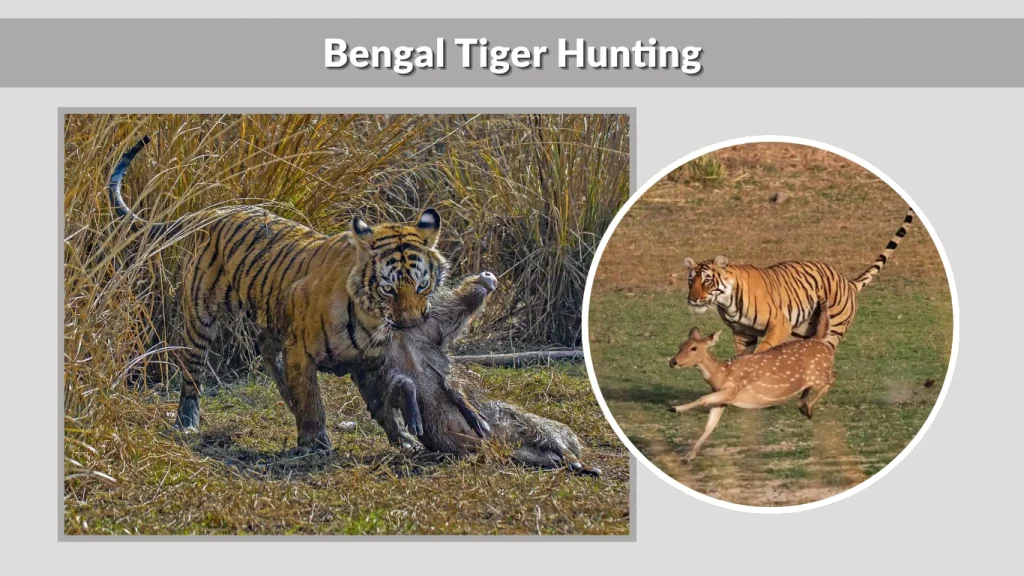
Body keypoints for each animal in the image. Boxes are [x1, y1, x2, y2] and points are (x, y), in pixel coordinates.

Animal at [107, 135, 486, 451]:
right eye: (388, 289)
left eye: (422, 285)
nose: (409, 326)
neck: (372, 321)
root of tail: (215, 209)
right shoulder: (301, 350)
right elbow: (311, 398)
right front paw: (315, 443)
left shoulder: (368, 362)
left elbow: (381, 403)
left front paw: (404, 438)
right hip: (201, 316)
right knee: (192, 372)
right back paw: (187, 421)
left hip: (272, 314)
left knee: (264, 345)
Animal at [683, 208, 914, 355]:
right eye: (691, 281)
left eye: (707, 280)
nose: (693, 299)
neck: (726, 303)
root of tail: (847, 283)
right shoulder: (742, 334)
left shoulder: (779, 324)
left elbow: (762, 350)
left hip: (832, 330)